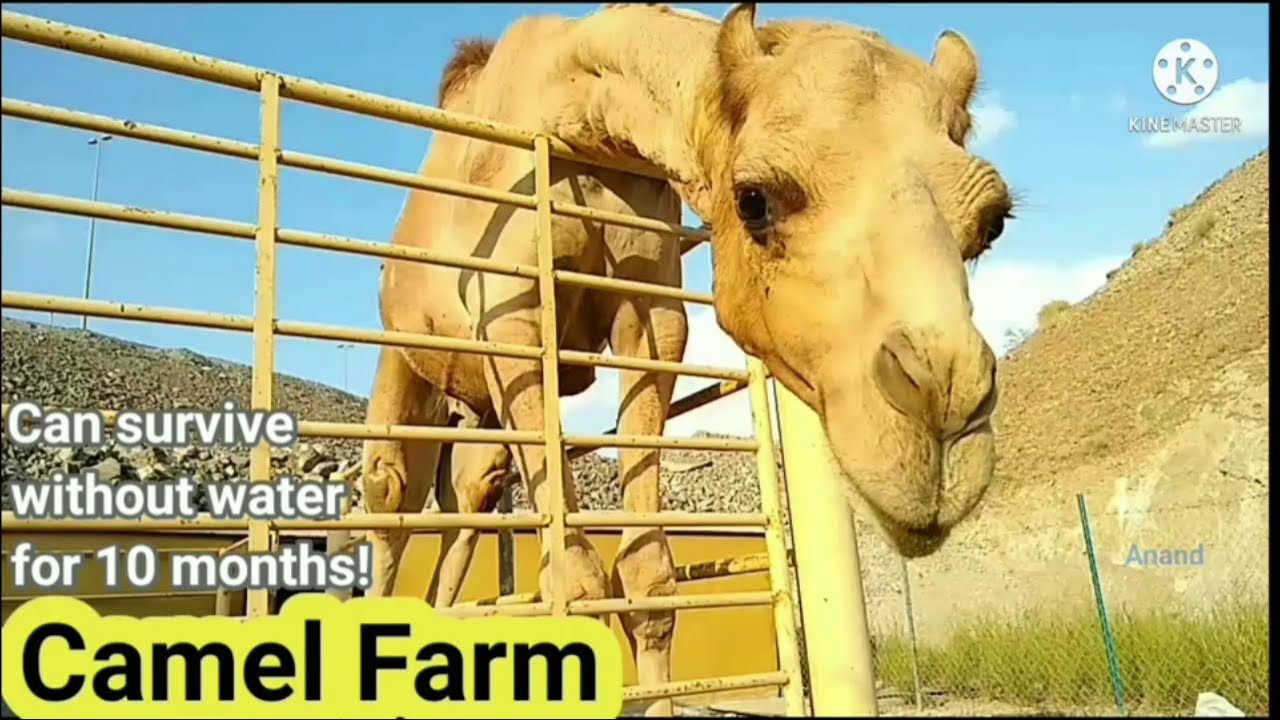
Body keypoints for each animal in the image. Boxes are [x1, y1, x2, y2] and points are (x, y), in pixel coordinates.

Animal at [358, 3, 1012, 714]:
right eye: (754, 198)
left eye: (992, 223)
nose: (944, 409)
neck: (579, 124)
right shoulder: (512, 306)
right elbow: (579, 586)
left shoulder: (650, 319)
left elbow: (648, 577)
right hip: (406, 352)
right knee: (389, 493)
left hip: (476, 406)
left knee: (470, 495)